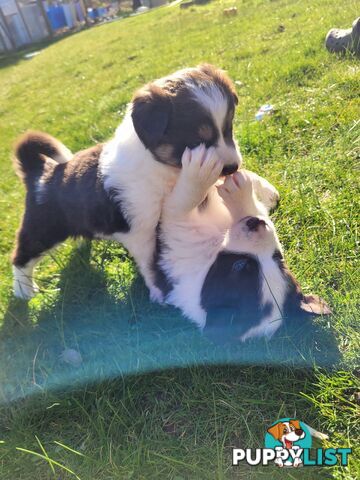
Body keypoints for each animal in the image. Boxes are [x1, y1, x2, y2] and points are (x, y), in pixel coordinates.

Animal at [11, 64, 242, 300]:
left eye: (228, 128)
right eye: (197, 140)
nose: (233, 167)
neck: (162, 167)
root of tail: (39, 172)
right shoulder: (142, 231)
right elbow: (150, 265)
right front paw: (159, 294)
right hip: (42, 230)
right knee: (21, 258)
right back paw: (24, 292)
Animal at [153, 146, 330, 342]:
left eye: (239, 266)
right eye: (278, 259)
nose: (256, 223)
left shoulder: (180, 230)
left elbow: (181, 202)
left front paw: (201, 169)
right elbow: (255, 210)